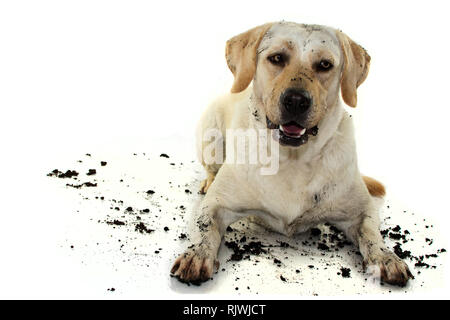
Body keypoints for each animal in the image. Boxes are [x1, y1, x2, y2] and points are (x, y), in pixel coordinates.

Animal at [171, 22, 414, 288]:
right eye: (277, 58)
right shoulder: (217, 204)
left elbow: (372, 234)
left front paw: (386, 258)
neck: (292, 159)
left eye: (325, 64)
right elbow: (205, 227)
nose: (296, 101)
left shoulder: (361, 210)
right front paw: (197, 254)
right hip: (210, 135)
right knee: (211, 168)